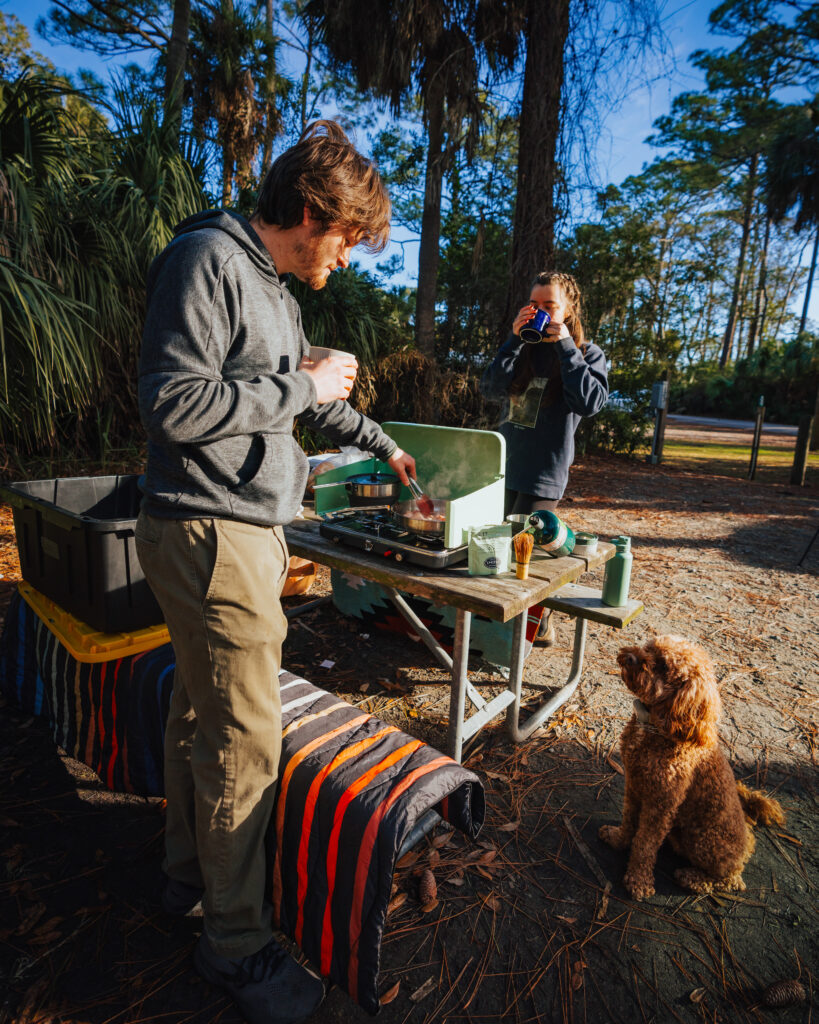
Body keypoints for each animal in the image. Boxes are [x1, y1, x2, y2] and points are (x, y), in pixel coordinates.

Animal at [597, 634, 782, 901]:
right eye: (649, 647)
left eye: (664, 667)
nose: (630, 657)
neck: (654, 727)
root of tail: (746, 844)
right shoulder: (634, 786)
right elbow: (629, 822)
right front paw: (618, 840)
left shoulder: (662, 804)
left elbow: (644, 843)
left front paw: (638, 881)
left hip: (707, 841)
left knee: (732, 881)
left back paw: (691, 878)